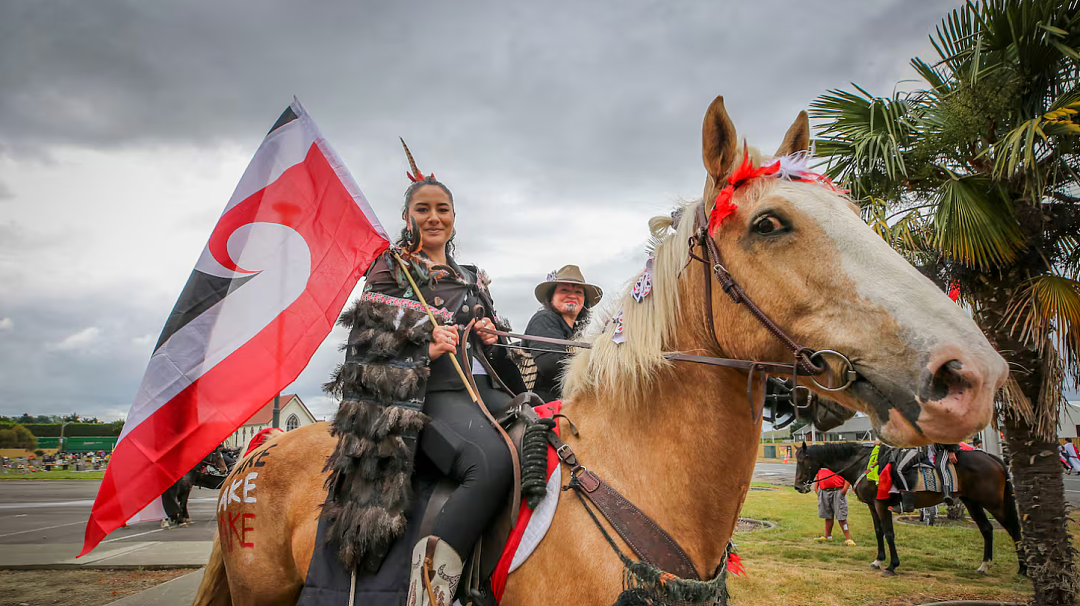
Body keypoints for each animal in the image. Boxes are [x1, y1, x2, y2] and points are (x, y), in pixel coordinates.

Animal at [790, 442, 1023, 574]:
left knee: (1013, 528)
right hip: (972, 501)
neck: (864, 463)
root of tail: (992, 457)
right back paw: (984, 566)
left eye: (803, 461)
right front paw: (878, 560)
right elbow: (879, 532)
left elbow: (889, 534)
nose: (798, 486)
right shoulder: (872, 506)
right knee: (987, 529)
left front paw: (892, 565)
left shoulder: (881, 504)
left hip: (993, 502)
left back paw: (1023, 569)